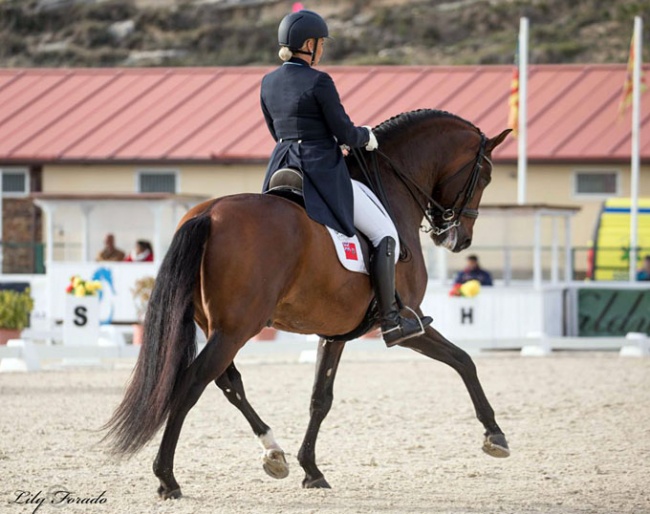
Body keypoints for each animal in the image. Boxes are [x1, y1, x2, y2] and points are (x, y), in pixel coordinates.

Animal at [102, 108, 512, 496]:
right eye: (486, 177)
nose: (458, 240)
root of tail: (208, 213)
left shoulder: (334, 334)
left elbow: (320, 398)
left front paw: (311, 470)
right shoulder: (411, 326)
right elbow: (464, 359)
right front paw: (495, 435)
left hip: (218, 327)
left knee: (229, 383)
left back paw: (273, 453)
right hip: (236, 329)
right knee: (192, 383)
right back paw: (167, 477)